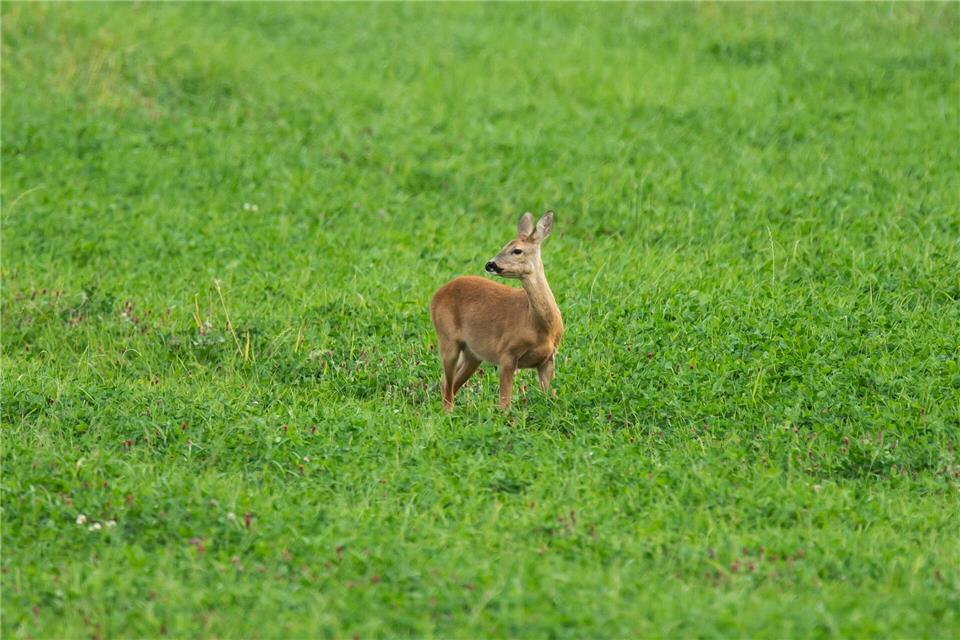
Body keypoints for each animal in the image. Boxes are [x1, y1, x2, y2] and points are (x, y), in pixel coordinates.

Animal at [430, 211, 563, 412]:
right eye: (504, 245)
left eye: (517, 250)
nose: (490, 264)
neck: (538, 325)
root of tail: (436, 295)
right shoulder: (506, 352)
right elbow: (504, 403)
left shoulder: (548, 359)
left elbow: (549, 397)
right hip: (447, 338)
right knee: (447, 385)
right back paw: (448, 413)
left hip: (472, 354)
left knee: (449, 384)